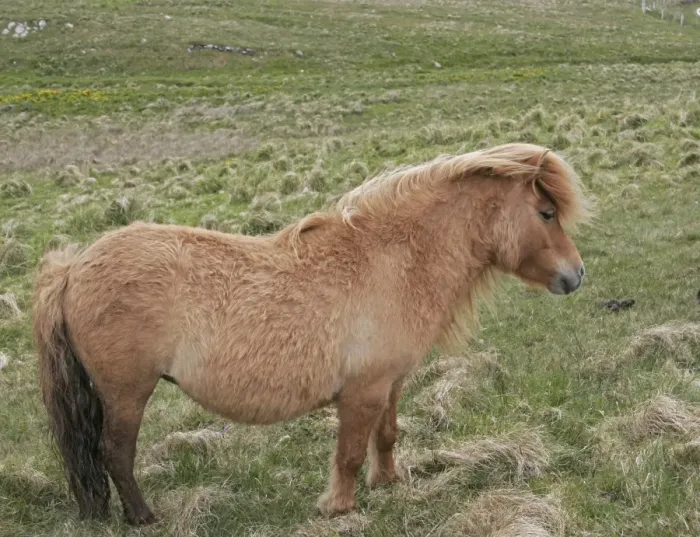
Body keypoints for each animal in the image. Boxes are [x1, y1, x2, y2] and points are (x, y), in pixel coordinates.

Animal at [32, 142, 591, 525]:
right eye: (546, 213)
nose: (576, 275)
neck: (393, 261)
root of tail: (74, 268)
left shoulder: (389, 383)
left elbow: (386, 436)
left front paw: (388, 482)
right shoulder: (362, 391)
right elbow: (348, 452)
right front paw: (339, 507)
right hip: (127, 392)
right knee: (115, 453)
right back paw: (143, 517)